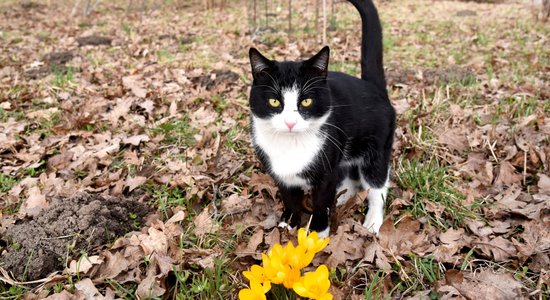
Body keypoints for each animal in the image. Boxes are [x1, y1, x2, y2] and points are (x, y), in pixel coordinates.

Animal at [248, 0, 394, 239]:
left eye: (306, 101)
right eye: (274, 101)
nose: (290, 123)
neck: (291, 145)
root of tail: (373, 87)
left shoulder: (326, 168)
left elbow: (321, 202)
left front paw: (317, 231)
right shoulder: (280, 172)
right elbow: (290, 197)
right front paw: (288, 222)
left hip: (377, 147)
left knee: (376, 185)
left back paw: (372, 221)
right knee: (350, 174)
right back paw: (343, 197)